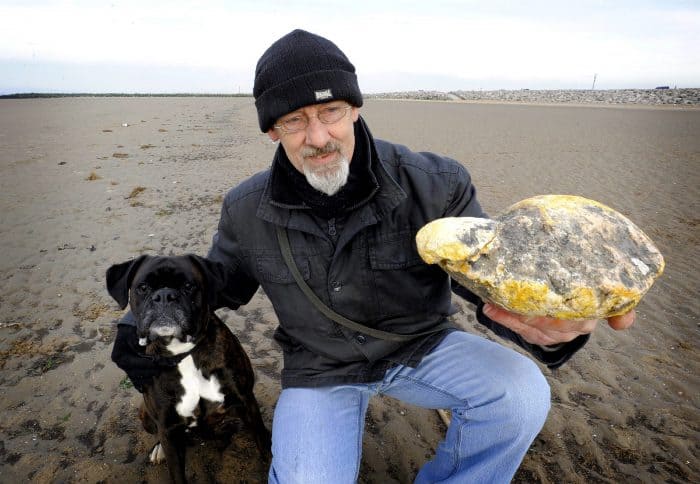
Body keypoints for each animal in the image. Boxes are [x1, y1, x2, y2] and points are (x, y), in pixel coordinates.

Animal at [106, 255, 270, 482]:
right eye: (143, 287)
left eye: (188, 286)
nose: (164, 296)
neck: (183, 353)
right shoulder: (167, 428)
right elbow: (176, 473)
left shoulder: (247, 402)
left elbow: (263, 445)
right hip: (145, 414)